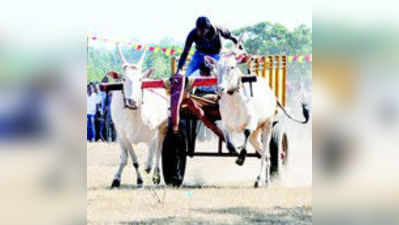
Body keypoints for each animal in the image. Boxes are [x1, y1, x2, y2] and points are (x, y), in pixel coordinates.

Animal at [107, 44, 168, 188]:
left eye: (140, 79)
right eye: (123, 79)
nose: (132, 101)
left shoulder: (157, 131)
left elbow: (157, 152)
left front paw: (153, 175)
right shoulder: (123, 135)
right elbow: (130, 159)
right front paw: (119, 179)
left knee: (156, 151)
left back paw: (154, 172)